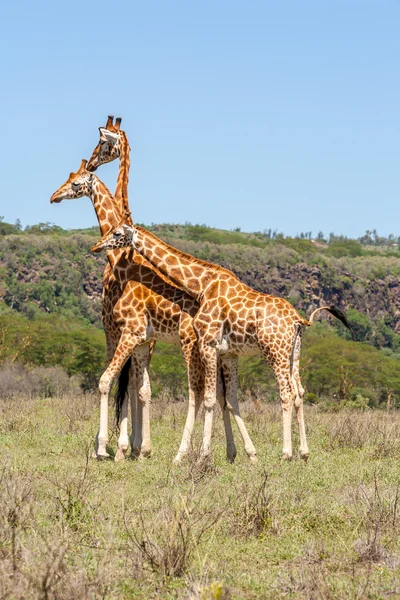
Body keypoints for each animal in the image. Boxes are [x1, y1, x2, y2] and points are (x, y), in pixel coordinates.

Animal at [92, 223, 352, 462]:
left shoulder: (207, 343)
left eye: (117, 233)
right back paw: (304, 453)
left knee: (285, 393)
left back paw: (286, 453)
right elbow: (226, 399)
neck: (202, 284)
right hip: (293, 354)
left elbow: (207, 398)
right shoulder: (227, 353)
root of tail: (298, 319)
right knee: (299, 392)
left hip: (274, 351)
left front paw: (202, 455)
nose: (96, 246)